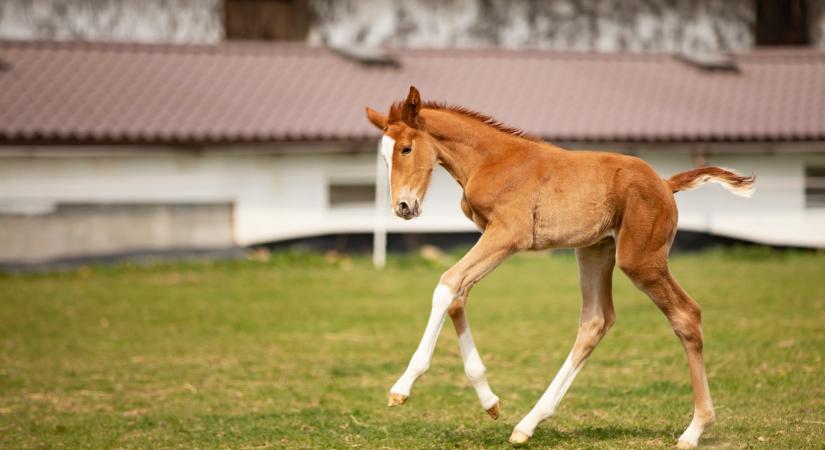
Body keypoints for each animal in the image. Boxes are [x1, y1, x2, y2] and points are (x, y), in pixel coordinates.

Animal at [366, 86, 752, 448]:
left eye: (406, 149)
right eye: (384, 156)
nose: (403, 207)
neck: (490, 160)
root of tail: (665, 184)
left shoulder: (509, 234)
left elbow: (447, 284)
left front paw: (402, 387)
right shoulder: (493, 237)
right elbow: (458, 296)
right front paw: (490, 401)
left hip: (640, 259)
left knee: (686, 315)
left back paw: (695, 429)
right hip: (594, 250)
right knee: (596, 321)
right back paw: (528, 423)